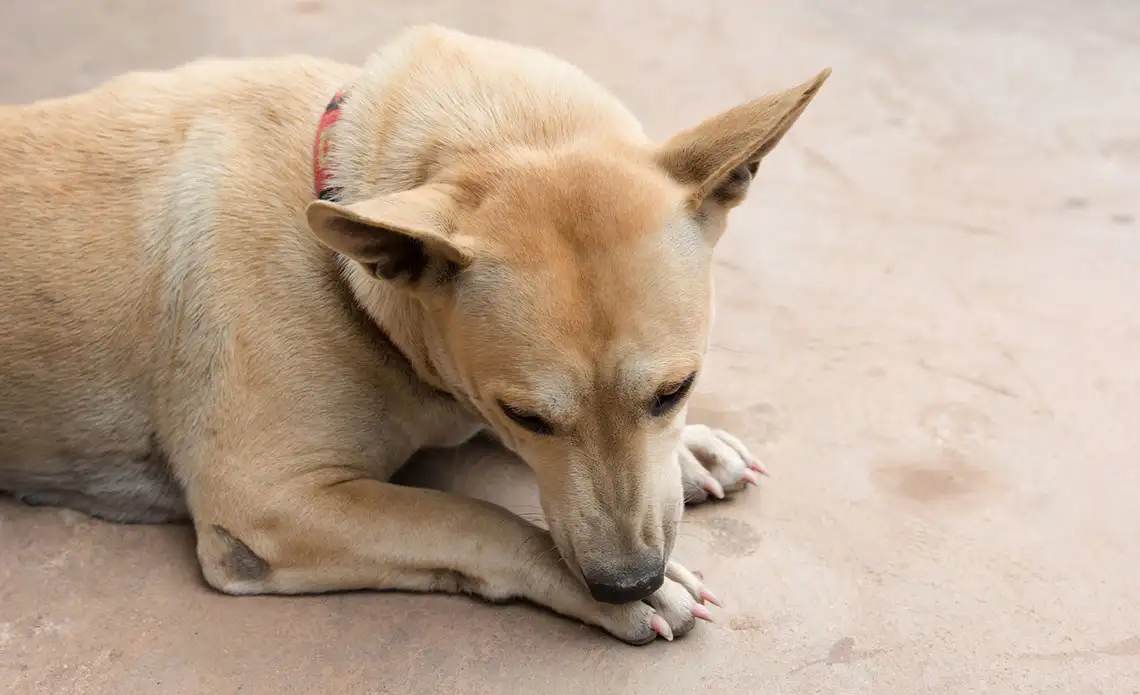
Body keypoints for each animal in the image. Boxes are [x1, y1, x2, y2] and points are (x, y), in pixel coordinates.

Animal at [0, 27, 825, 642]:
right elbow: (470, 516)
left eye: (677, 389)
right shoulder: (268, 504)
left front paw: (690, 449)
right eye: (527, 414)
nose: (628, 580)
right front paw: (610, 590)